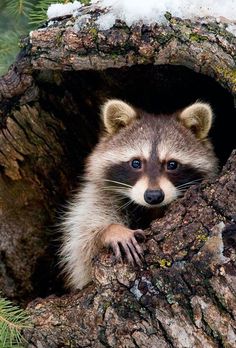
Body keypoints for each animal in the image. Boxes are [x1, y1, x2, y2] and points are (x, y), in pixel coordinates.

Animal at [60, 99, 218, 290]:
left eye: (172, 164)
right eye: (136, 163)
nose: (154, 196)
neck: (150, 208)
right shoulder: (98, 194)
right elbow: (82, 245)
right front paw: (110, 230)